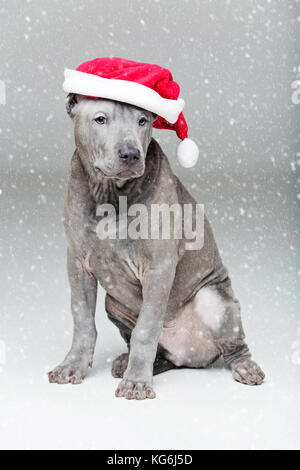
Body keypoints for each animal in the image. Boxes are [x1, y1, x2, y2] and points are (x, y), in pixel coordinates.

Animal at [48, 93, 266, 398]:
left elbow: (146, 329)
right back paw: (128, 362)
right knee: (160, 354)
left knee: (233, 346)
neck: (111, 193)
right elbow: (82, 320)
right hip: (113, 303)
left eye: (143, 121)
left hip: (215, 300)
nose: (131, 154)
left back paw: (245, 367)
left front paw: (137, 382)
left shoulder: (158, 268)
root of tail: (189, 356)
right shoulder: (78, 263)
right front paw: (72, 366)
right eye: (100, 119)